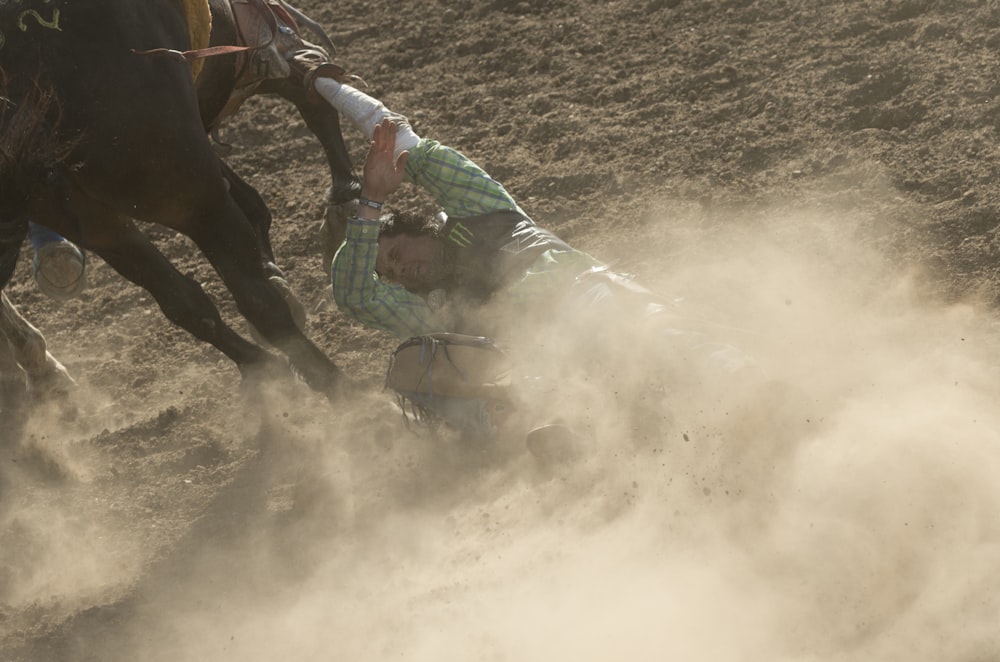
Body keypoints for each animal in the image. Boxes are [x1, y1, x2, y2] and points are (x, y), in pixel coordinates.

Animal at [0, 0, 360, 400]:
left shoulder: (192, 193)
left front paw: (352, 399)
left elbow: (257, 301)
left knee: (309, 84)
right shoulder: (92, 221)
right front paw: (261, 368)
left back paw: (343, 201)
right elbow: (185, 304)